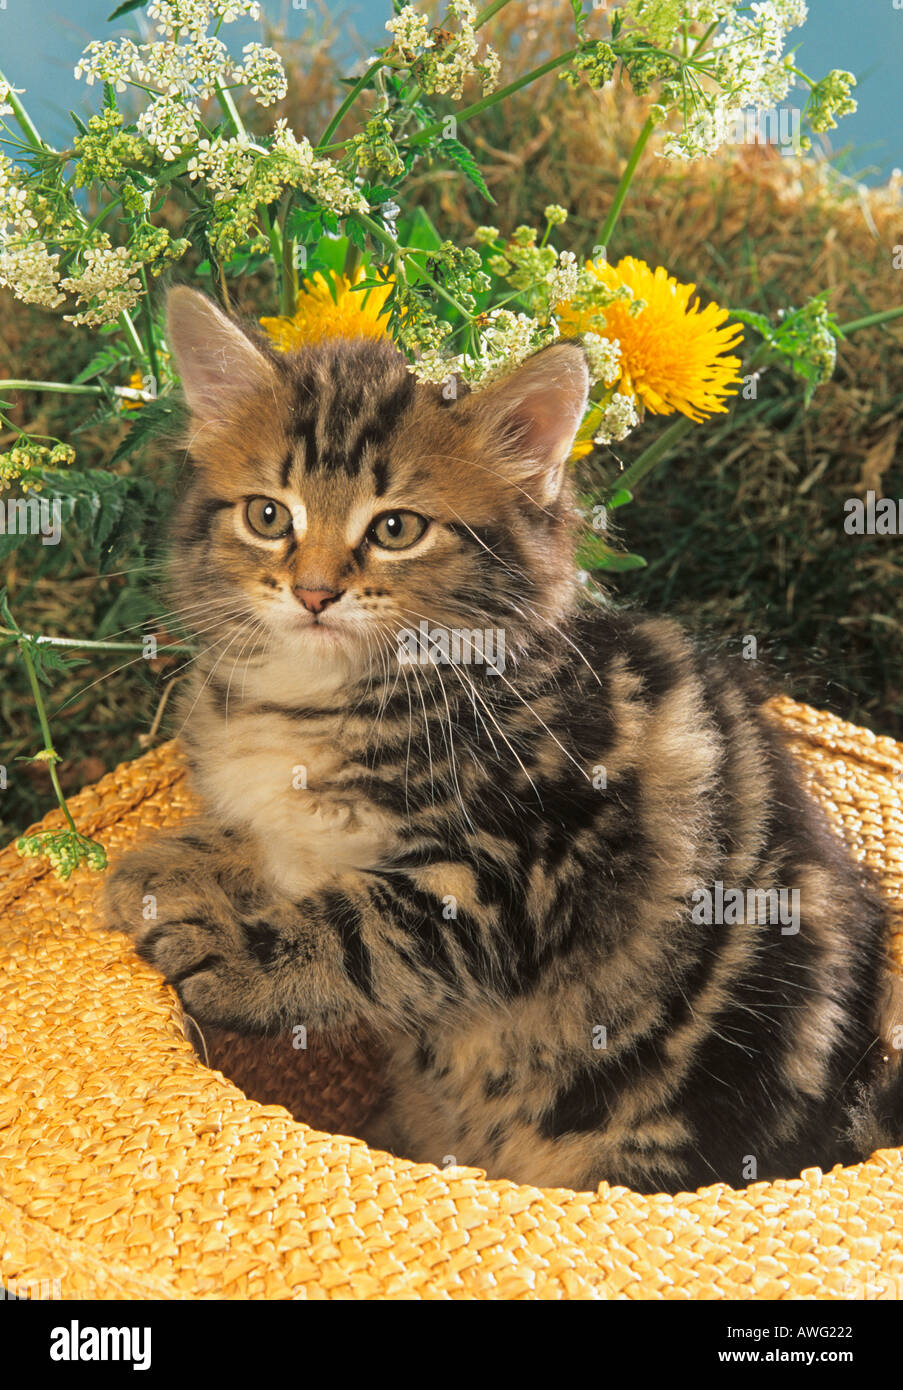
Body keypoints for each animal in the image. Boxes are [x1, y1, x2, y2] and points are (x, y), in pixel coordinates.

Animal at [103, 284, 900, 1195]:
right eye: (269, 515)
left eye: (396, 529)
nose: (312, 593)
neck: (323, 701)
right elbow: (262, 840)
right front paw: (164, 865)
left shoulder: (521, 866)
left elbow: (361, 929)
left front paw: (233, 953)